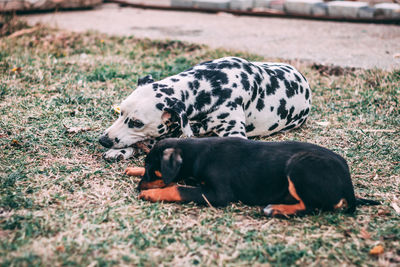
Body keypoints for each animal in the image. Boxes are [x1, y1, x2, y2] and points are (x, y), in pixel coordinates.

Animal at [137, 137, 378, 217]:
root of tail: (348, 184)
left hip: (299, 166)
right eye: (145, 166)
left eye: (152, 168)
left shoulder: (219, 194)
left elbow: (177, 188)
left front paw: (151, 193)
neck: (198, 153)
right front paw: (133, 170)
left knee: (310, 207)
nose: (138, 187)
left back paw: (276, 210)